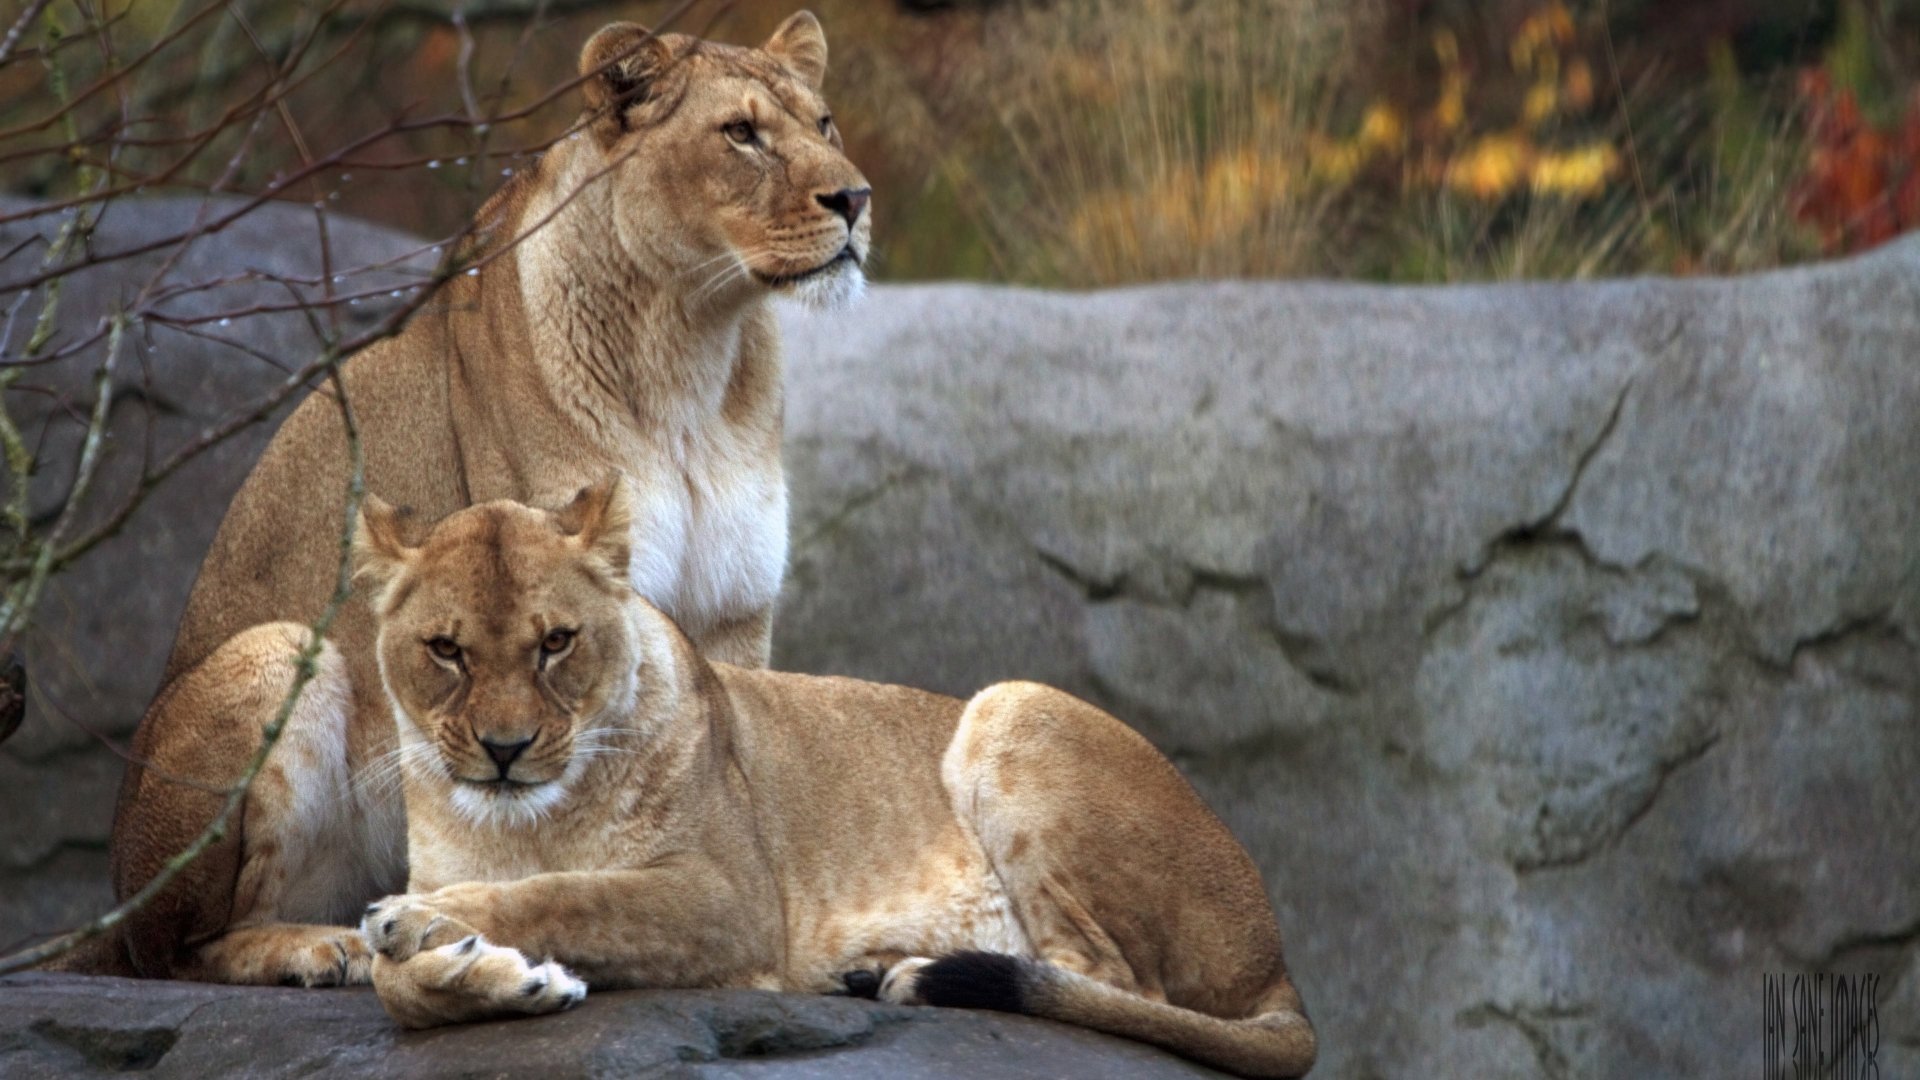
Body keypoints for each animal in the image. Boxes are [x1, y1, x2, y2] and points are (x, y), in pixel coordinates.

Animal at [101, 12, 870, 985]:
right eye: (741, 133)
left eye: (825, 122)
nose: (857, 200)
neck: (698, 345)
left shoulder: (734, 607)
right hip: (275, 654)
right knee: (178, 952)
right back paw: (317, 947)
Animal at [345, 482, 1318, 1079]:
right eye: (445, 650)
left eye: (556, 642)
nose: (505, 749)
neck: (520, 823)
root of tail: (1280, 962)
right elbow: (393, 987)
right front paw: (497, 975)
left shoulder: (730, 900)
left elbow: (570, 893)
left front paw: (427, 923)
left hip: (1012, 704)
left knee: (1113, 984)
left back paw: (912, 975)